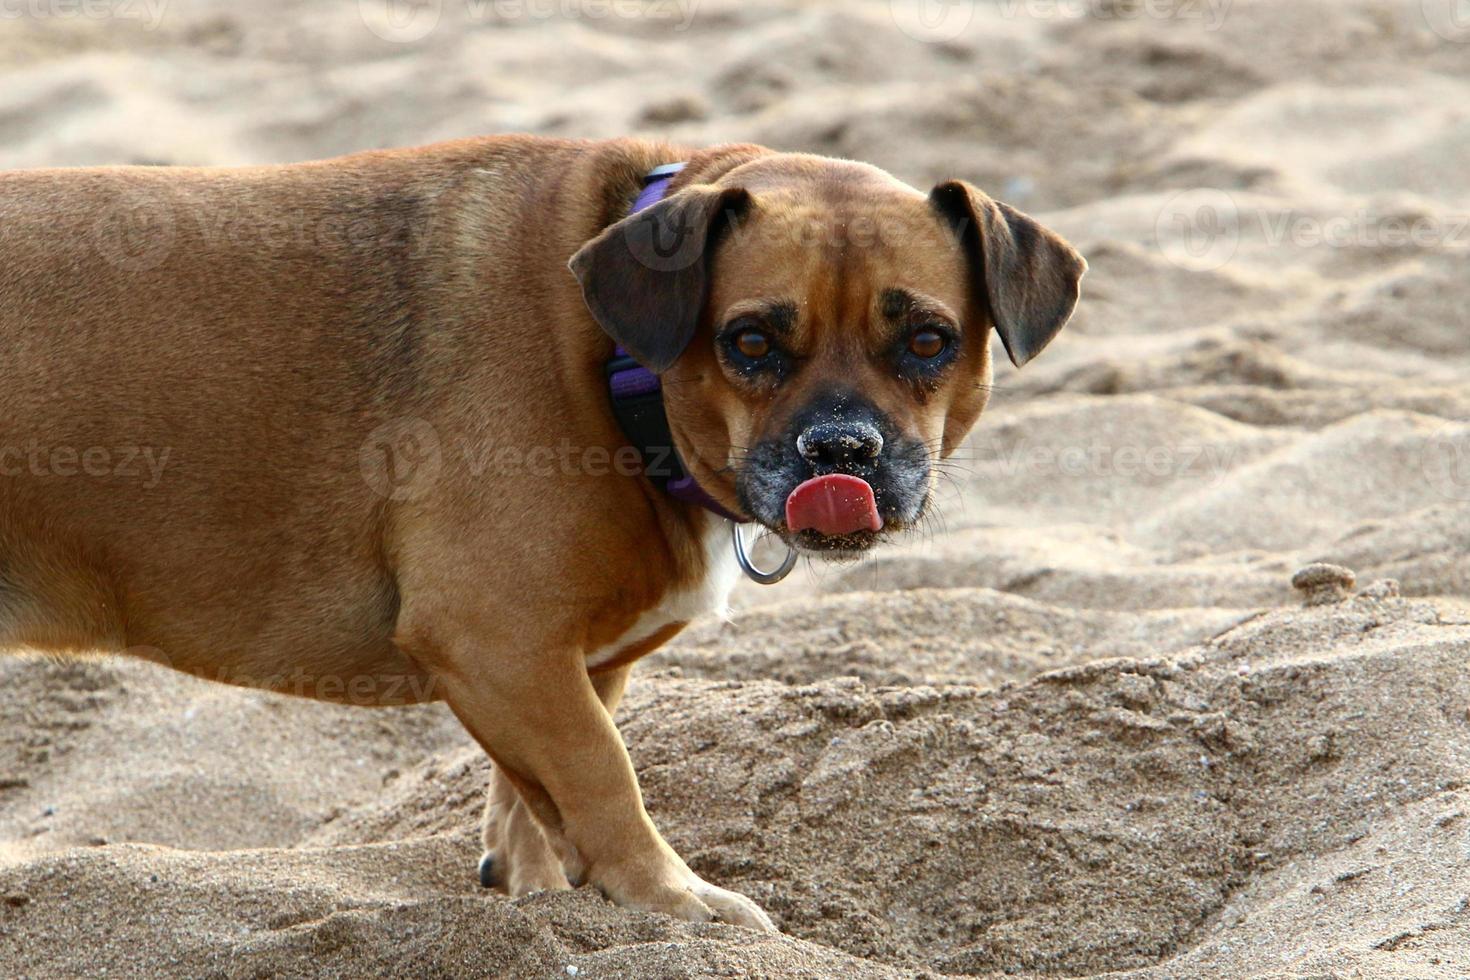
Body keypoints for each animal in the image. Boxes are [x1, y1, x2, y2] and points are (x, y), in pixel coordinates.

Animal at [0, 135, 1081, 928]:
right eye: (750, 341)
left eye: (929, 340)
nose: (842, 449)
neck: (614, 361)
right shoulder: (496, 639)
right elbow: (605, 774)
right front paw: (673, 897)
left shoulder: (556, 665)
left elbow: (538, 792)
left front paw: (550, 906)